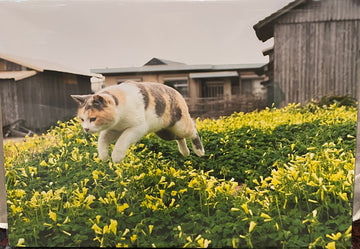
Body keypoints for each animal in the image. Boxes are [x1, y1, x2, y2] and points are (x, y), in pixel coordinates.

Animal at [71, 80, 205, 163]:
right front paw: (104, 156)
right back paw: (185, 152)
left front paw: (116, 157)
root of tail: (178, 92)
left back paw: (199, 151)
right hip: (164, 133)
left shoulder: (138, 128)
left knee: (193, 130)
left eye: (93, 119)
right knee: (179, 138)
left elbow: (122, 139)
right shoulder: (113, 129)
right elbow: (102, 139)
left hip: (180, 125)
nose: (86, 128)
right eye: (82, 119)